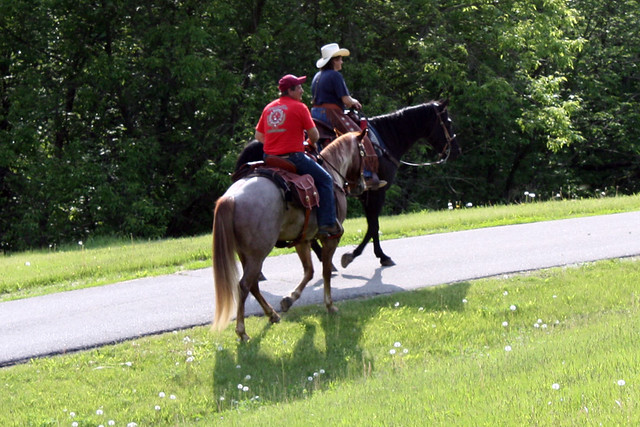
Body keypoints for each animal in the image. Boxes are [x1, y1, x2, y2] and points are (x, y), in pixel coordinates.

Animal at [213, 130, 367, 341]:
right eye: (363, 152)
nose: (361, 186)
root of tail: (232, 198)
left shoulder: (302, 240)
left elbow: (309, 271)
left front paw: (289, 299)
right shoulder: (331, 238)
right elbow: (325, 270)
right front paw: (329, 305)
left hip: (245, 254)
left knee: (252, 285)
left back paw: (272, 315)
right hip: (257, 254)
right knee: (244, 285)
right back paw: (242, 331)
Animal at [235, 100, 460, 268]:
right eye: (448, 121)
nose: (456, 150)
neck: (385, 137)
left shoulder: (363, 193)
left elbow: (372, 224)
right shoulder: (377, 192)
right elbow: (373, 225)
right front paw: (365, 255)